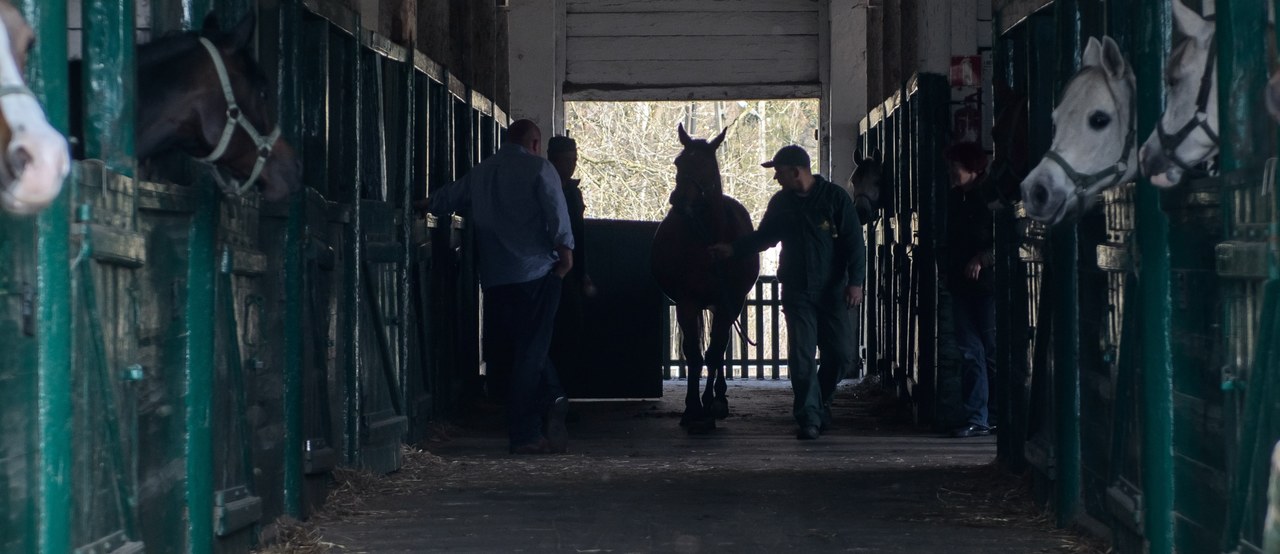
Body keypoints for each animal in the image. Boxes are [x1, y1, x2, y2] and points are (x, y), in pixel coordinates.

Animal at [650, 124, 757, 432]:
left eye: (708, 166)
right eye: (679, 162)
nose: (678, 201)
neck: (708, 237)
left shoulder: (730, 302)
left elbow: (714, 353)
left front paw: (710, 405)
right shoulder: (687, 303)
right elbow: (695, 355)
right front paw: (692, 409)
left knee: (719, 349)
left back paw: (719, 398)